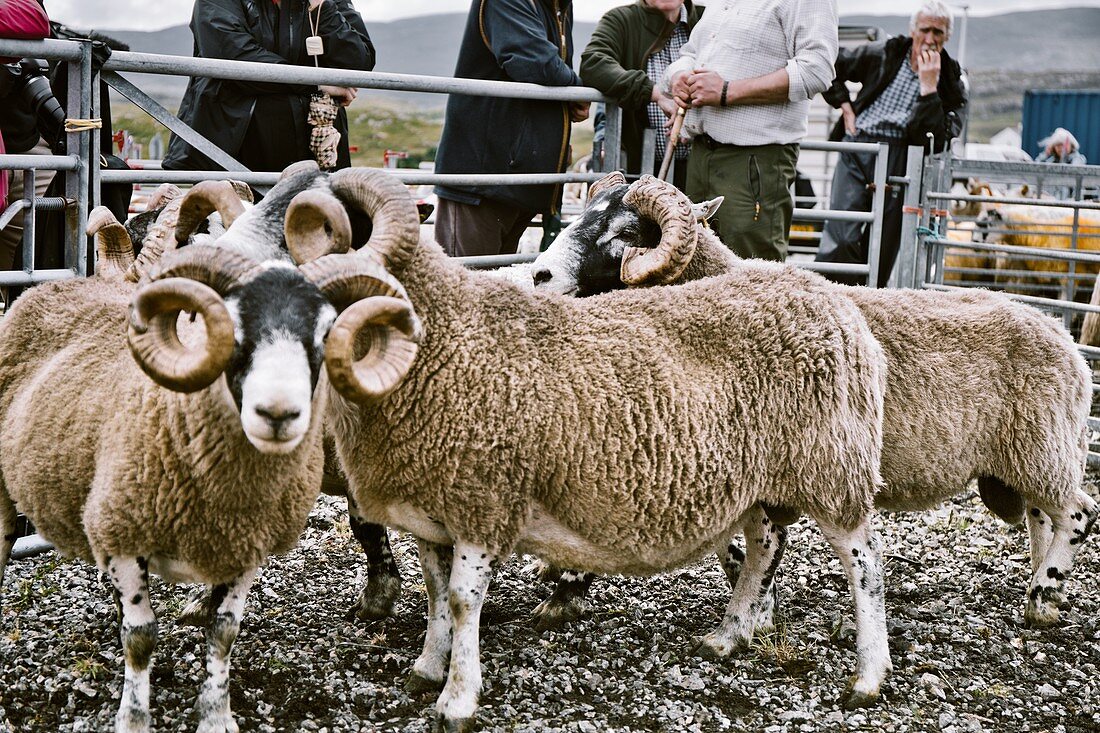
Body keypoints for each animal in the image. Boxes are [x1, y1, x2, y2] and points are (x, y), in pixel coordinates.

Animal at [316, 169, 893, 726]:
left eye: (625, 233)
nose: (541, 275)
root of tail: (826, 294)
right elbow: (438, 591)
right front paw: (429, 668)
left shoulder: (487, 497)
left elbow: (461, 599)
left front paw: (460, 696)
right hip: (762, 477)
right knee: (765, 547)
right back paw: (729, 636)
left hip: (832, 464)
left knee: (864, 563)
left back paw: (867, 676)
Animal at [528, 173, 1095, 638]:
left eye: (625, 232)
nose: (538, 275)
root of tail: (1063, 336)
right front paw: (758, 604)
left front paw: (566, 593)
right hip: (1025, 458)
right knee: (1043, 518)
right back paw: (1043, 586)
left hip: (1040, 449)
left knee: (1078, 513)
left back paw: (1043, 596)